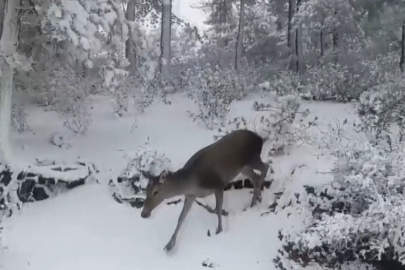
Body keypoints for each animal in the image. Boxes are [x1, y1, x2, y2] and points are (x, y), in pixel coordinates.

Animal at [139, 129, 268, 251]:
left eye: (155, 192)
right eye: (146, 190)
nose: (143, 214)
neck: (192, 183)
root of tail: (260, 139)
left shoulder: (218, 184)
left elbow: (218, 208)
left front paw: (219, 230)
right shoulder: (190, 196)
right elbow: (181, 218)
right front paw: (169, 245)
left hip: (252, 157)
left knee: (265, 167)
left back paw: (259, 197)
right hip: (243, 167)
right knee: (255, 177)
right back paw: (253, 202)